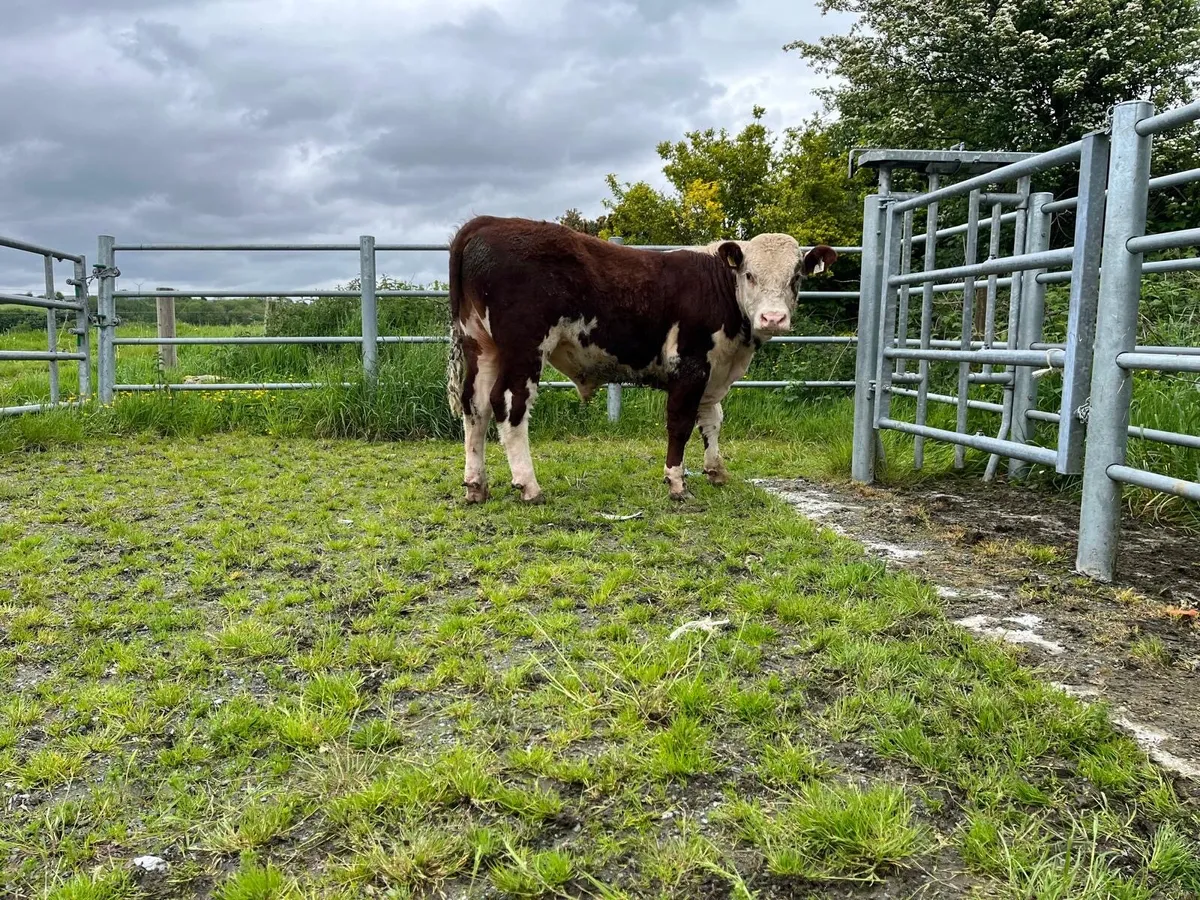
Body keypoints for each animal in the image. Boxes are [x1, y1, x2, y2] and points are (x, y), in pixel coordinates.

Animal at [445, 215, 837, 504]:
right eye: (749, 275)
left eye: (796, 277)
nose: (773, 318)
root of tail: (487, 222)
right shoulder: (690, 365)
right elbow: (680, 424)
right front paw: (677, 483)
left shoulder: (714, 371)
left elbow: (712, 420)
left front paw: (716, 471)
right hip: (524, 348)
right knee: (508, 405)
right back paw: (529, 486)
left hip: (481, 345)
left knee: (475, 405)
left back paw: (476, 486)